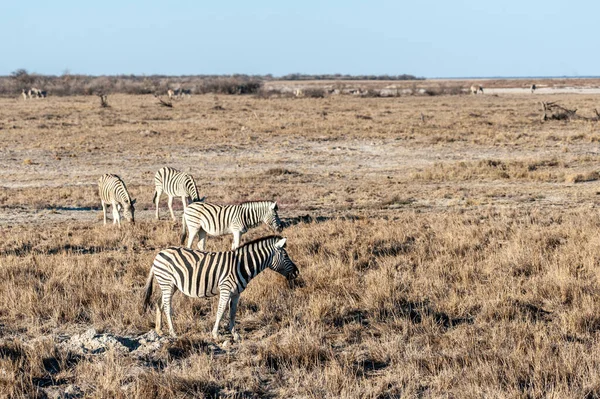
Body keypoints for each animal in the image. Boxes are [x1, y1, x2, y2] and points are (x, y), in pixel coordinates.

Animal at [141, 236, 300, 340]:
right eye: (286, 255)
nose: (297, 272)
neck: (241, 265)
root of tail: (159, 254)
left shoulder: (236, 293)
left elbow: (233, 312)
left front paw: (235, 334)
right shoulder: (226, 289)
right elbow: (221, 310)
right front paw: (215, 334)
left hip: (171, 285)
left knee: (159, 303)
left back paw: (159, 330)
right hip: (167, 282)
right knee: (167, 306)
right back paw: (173, 332)